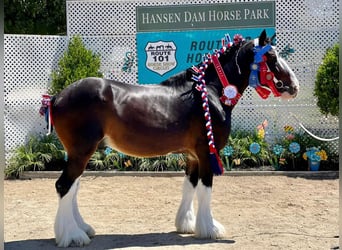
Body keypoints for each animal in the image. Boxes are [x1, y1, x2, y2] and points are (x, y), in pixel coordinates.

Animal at [50, 30, 300, 247]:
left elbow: (189, 186)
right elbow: (205, 188)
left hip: (80, 152)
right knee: (64, 185)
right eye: (271, 56)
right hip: (82, 151)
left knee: (73, 187)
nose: (294, 87)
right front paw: (210, 229)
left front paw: (187, 224)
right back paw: (73, 236)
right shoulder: (206, 152)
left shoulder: (192, 155)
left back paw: (83, 229)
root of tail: (57, 97)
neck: (210, 91)